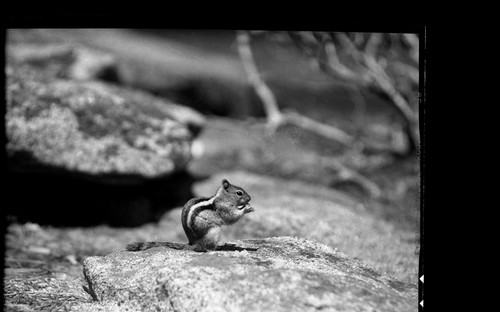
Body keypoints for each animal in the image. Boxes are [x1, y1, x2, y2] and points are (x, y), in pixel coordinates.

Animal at [125, 178, 254, 251]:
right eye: (239, 193)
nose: (250, 198)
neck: (223, 198)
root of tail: (192, 243)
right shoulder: (224, 208)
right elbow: (231, 217)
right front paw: (246, 208)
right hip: (214, 231)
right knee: (203, 248)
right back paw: (215, 249)